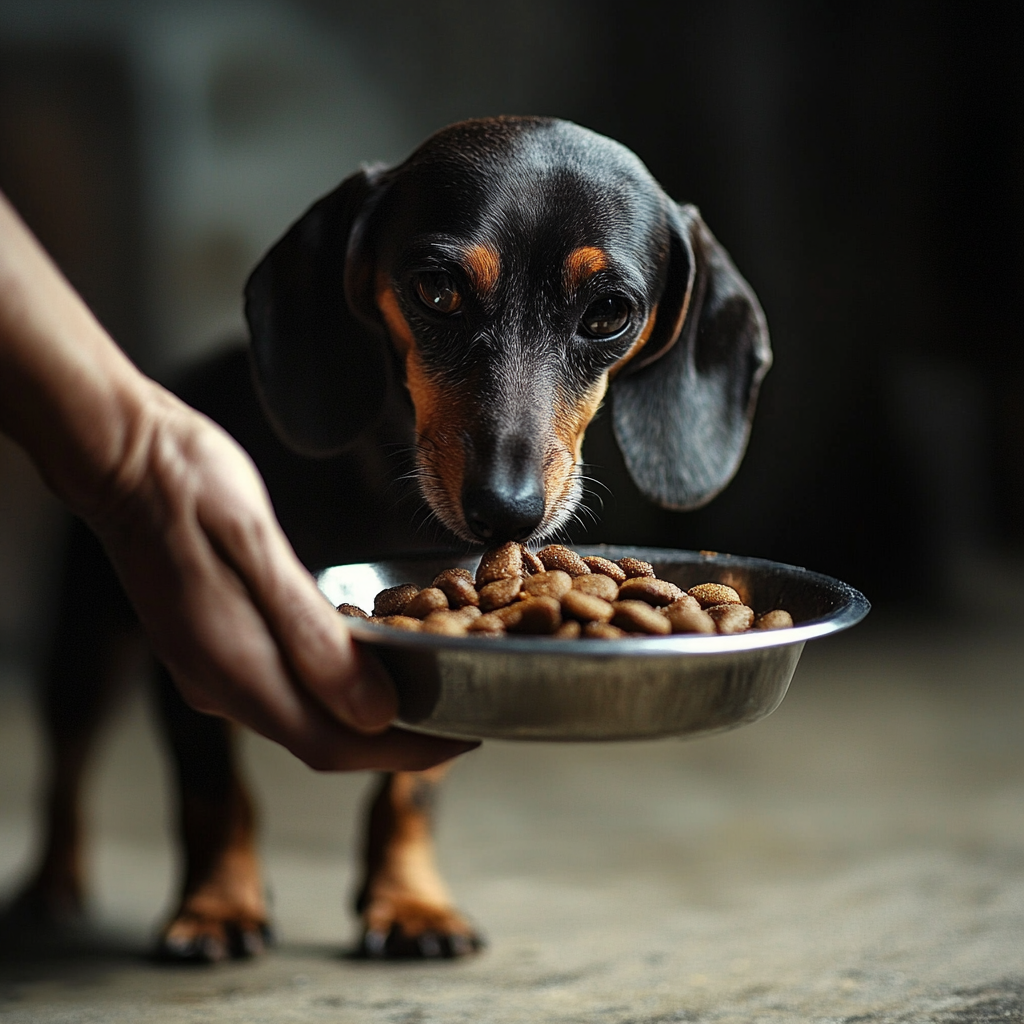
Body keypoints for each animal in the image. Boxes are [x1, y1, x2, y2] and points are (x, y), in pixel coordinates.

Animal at [16, 117, 770, 958]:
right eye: (437, 290)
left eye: (609, 312)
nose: (504, 513)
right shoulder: (190, 648)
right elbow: (213, 790)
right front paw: (217, 907)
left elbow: (409, 794)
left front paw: (409, 903)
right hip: (84, 641)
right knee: (64, 768)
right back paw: (50, 883)